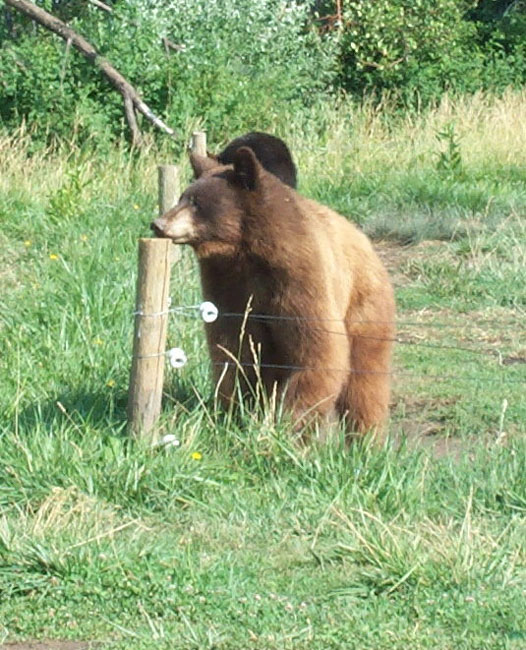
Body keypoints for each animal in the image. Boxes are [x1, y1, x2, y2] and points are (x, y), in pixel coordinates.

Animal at [151, 147, 395, 441]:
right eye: (182, 197)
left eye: (196, 202)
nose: (158, 223)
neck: (247, 251)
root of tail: (367, 244)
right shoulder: (227, 283)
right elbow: (235, 346)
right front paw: (236, 411)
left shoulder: (300, 277)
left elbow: (317, 349)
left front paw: (287, 422)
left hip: (364, 306)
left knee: (365, 378)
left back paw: (366, 438)